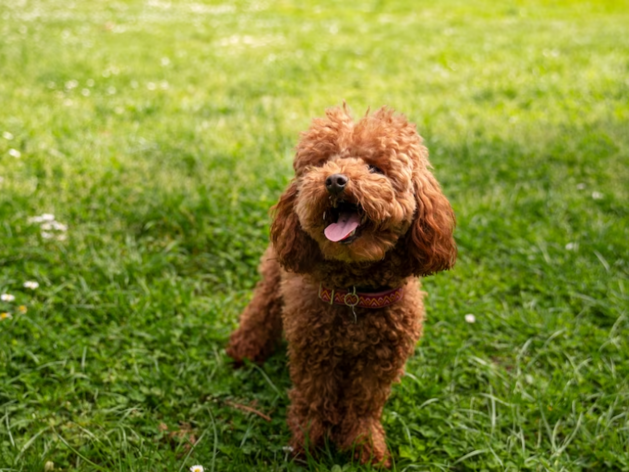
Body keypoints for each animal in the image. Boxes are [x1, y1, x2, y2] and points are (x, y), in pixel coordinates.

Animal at [226, 105, 456, 466]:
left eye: (375, 168)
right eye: (322, 163)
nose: (334, 180)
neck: (355, 295)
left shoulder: (379, 364)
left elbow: (363, 407)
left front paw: (364, 447)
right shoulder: (314, 353)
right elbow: (313, 401)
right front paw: (309, 446)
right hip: (273, 275)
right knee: (260, 310)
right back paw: (244, 351)